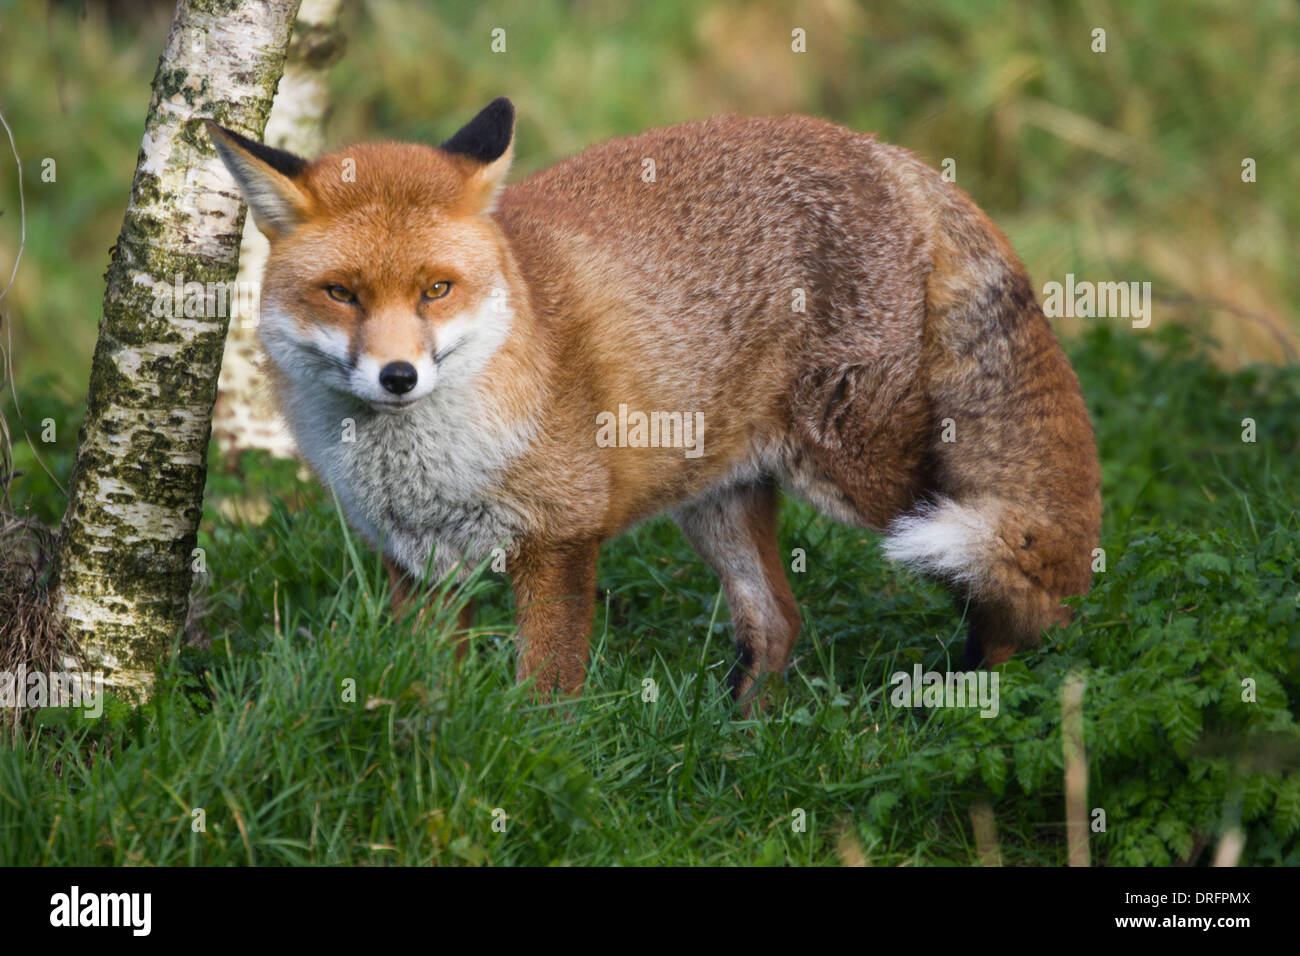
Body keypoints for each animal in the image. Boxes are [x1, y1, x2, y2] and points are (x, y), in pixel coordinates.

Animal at [206, 97, 1101, 705]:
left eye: (436, 289)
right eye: (342, 293)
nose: (398, 377)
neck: (426, 467)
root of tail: (881, 151)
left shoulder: (560, 541)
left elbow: (544, 700)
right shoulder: (415, 565)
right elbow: (432, 699)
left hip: (881, 485)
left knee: (1021, 580)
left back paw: (989, 696)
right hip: (717, 502)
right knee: (778, 623)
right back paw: (742, 743)